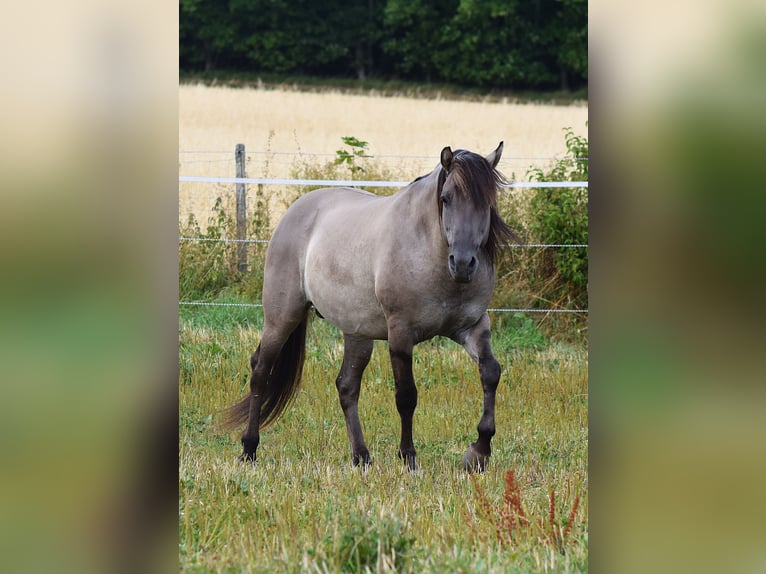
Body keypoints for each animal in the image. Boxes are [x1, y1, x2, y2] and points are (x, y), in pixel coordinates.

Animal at [221, 142, 516, 471]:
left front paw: (479, 451)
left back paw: (361, 456)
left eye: (488, 202)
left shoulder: (473, 327)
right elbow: (406, 395)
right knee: (261, 372)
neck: (430, 252)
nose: (463, 264)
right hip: (282, 316)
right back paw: (249, 449)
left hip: (356, 332)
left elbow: (491, 373)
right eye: (446, 198)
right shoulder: (400, 334)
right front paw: (408, 457)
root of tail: (296, 210)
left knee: (346, 386)